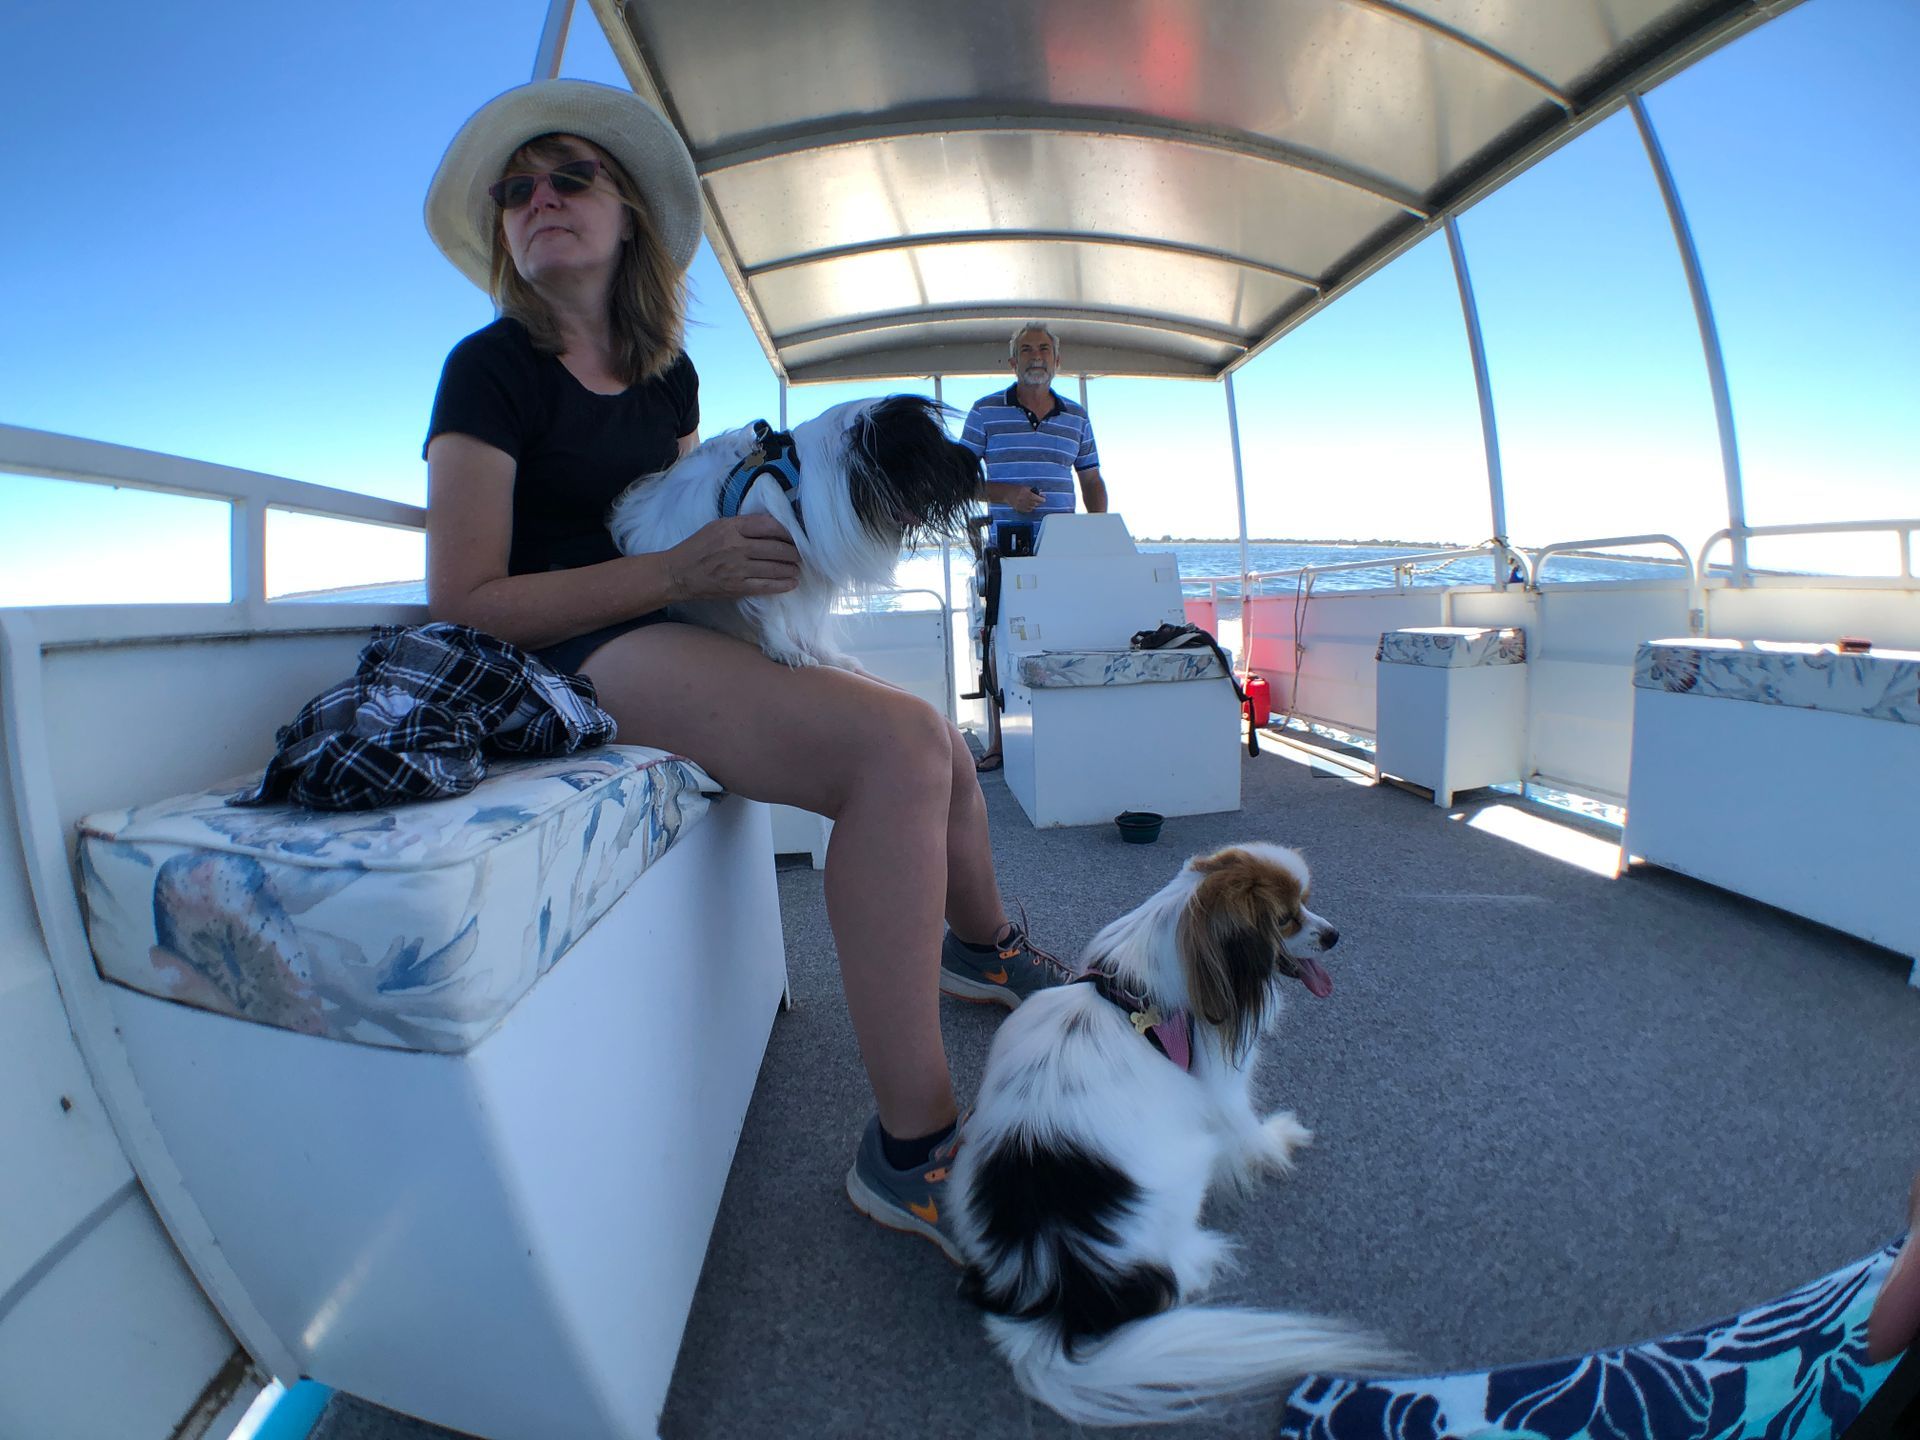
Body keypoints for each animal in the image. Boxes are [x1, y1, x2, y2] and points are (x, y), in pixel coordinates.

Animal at [952, 840, 1405, 1428]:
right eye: (1287, 918)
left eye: (1307, 905)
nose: (1333, 935)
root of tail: (1057, 1282)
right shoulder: (1224, 1088)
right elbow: (1250, 1132)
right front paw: (1279, 1142)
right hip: (1187, 1172)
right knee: (1178, 1270)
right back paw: (1206, 1257)